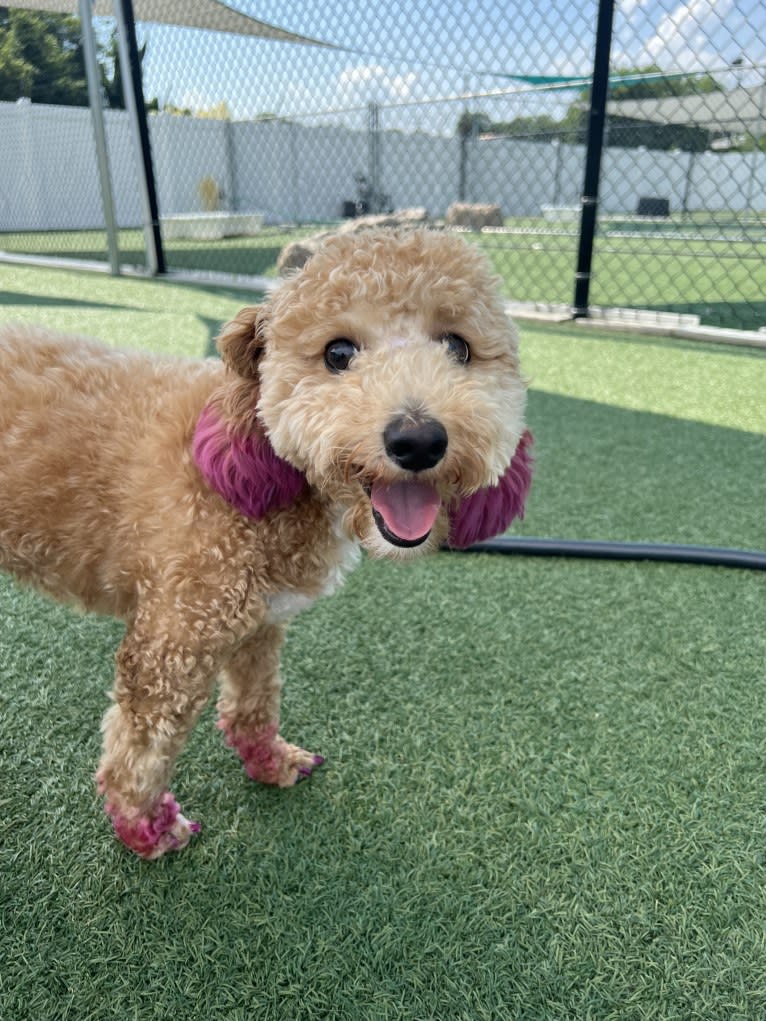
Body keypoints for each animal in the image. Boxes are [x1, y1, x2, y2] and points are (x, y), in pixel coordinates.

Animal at [0, 227, 535, 857]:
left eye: (459, 347)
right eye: (338, 353)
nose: (418, 439)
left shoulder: (259, 625)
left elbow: (253, 705)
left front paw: (269, 763)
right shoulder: (170, 648)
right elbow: (140, 751)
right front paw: (144, 828)